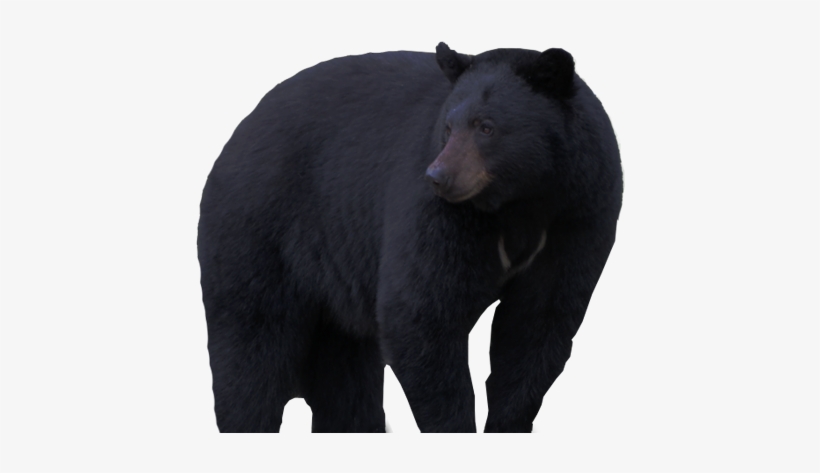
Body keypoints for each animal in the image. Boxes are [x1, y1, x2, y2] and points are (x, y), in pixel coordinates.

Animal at [198, 43, 622, 433]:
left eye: (486, 126)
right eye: (448, 127)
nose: (437, 176)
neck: (519, 201)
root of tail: (240, 129)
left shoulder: (578, 215)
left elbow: (538, 321)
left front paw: (507, 423)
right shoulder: (438, 216)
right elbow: (421, 313)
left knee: (346, 377)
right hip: (258, 230)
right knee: (252, 346)